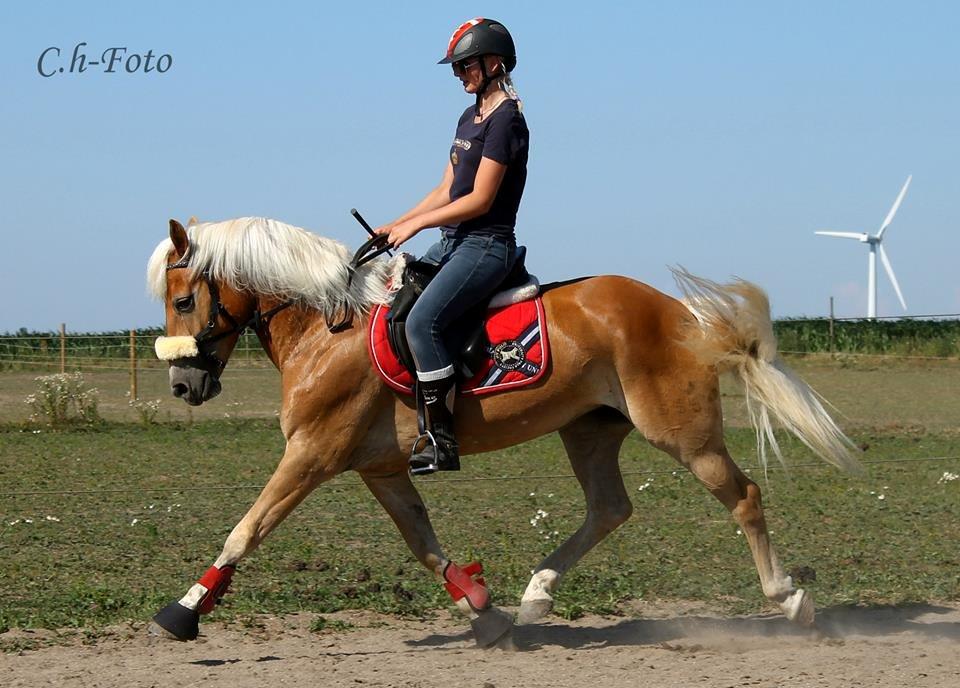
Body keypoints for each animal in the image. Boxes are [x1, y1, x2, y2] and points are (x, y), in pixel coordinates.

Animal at [146, 216, 860, 644]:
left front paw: (183, 611)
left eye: (183, 300)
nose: (183, 385)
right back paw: (537, 595)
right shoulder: (381, 467)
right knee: (610, 508)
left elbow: (246, 529)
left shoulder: (313, 454)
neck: (328, 326)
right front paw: (482, 611)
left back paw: (789, 599)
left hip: (682, 434)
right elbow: (424, 543)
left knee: (743, 497)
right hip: (590, 431)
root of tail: (683, 314)